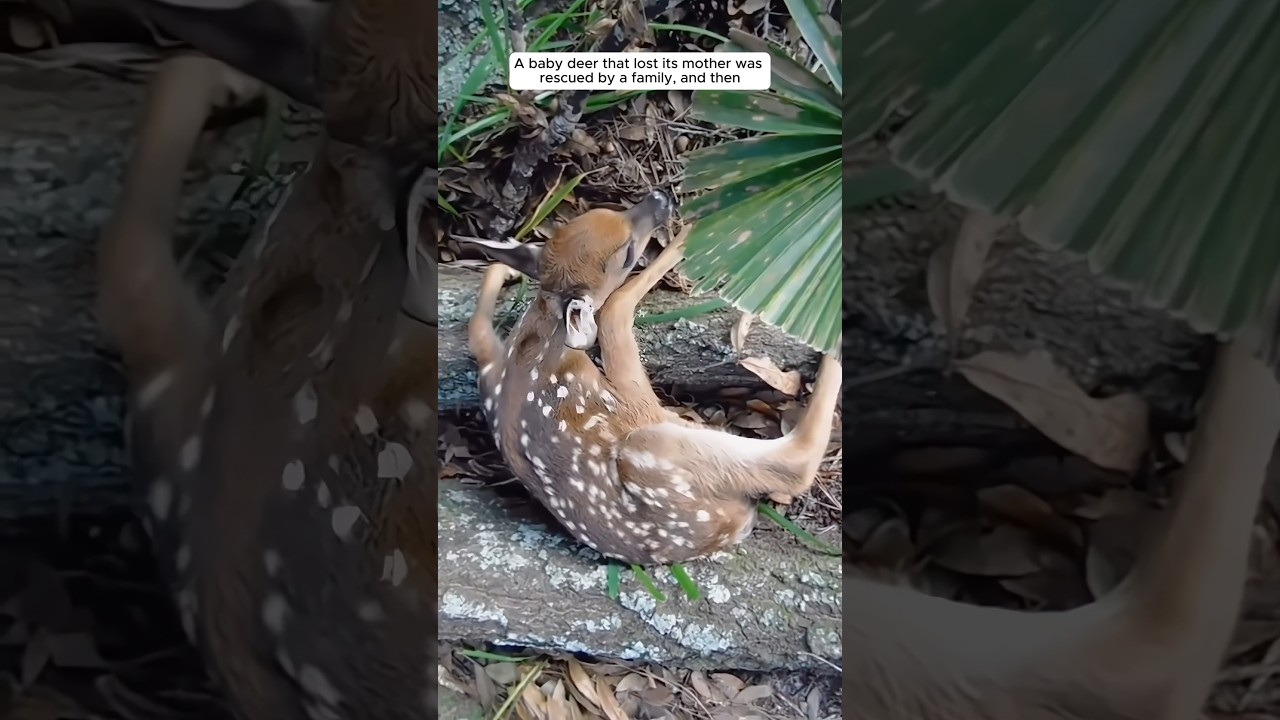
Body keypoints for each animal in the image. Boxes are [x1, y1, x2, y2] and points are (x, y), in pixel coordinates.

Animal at [465, 192, 842, 565]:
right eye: (628, 255)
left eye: (606, 210)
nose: (660, 197)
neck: (540, 338)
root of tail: (732, 528)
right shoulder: (632, 398)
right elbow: (615, 307)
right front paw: (693, 227)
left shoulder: (490, 369)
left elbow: (477, 326)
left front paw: (503, 270)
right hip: (653, 449)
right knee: (795, 461)